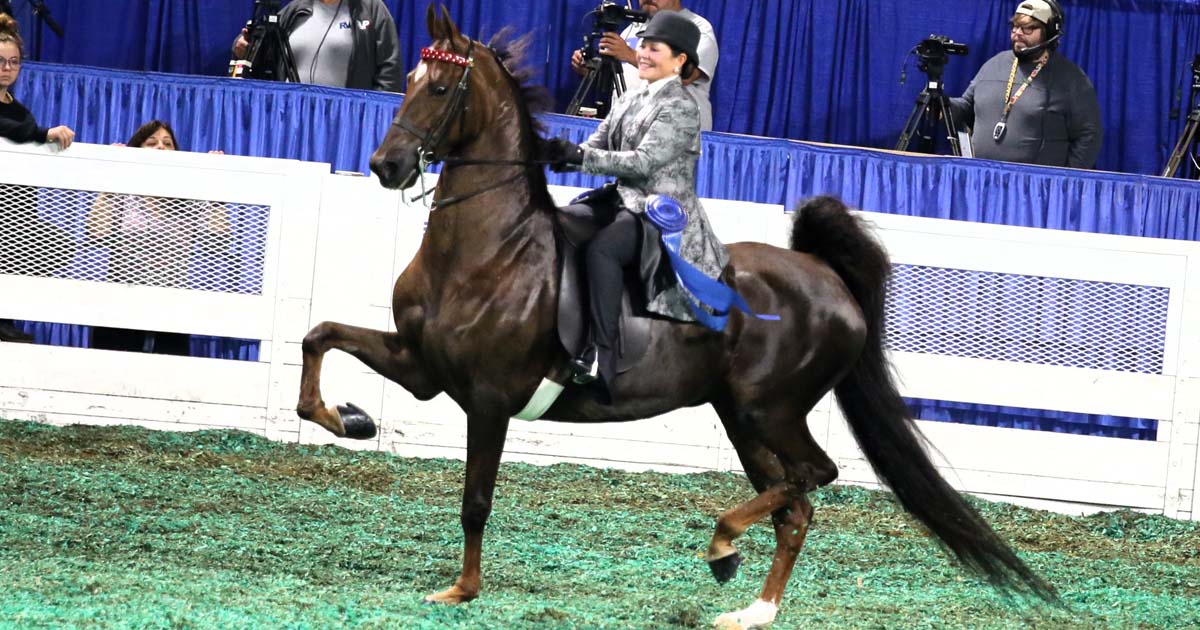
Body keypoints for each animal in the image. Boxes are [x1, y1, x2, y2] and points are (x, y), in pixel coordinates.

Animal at [297, 6, 1060, 628]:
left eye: (440, 88)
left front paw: (462, 590)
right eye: (409, 79)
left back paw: (724, 543)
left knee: (815, 476)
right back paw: (750, 607)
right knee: (794, 504)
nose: (387, 165)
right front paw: (348, 418)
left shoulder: (487, 398)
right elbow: (319, 338)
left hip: (769, 409)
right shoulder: (422, 367)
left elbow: (475, 500)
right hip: (742, 418)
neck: (492, 247)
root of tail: (825, 279)